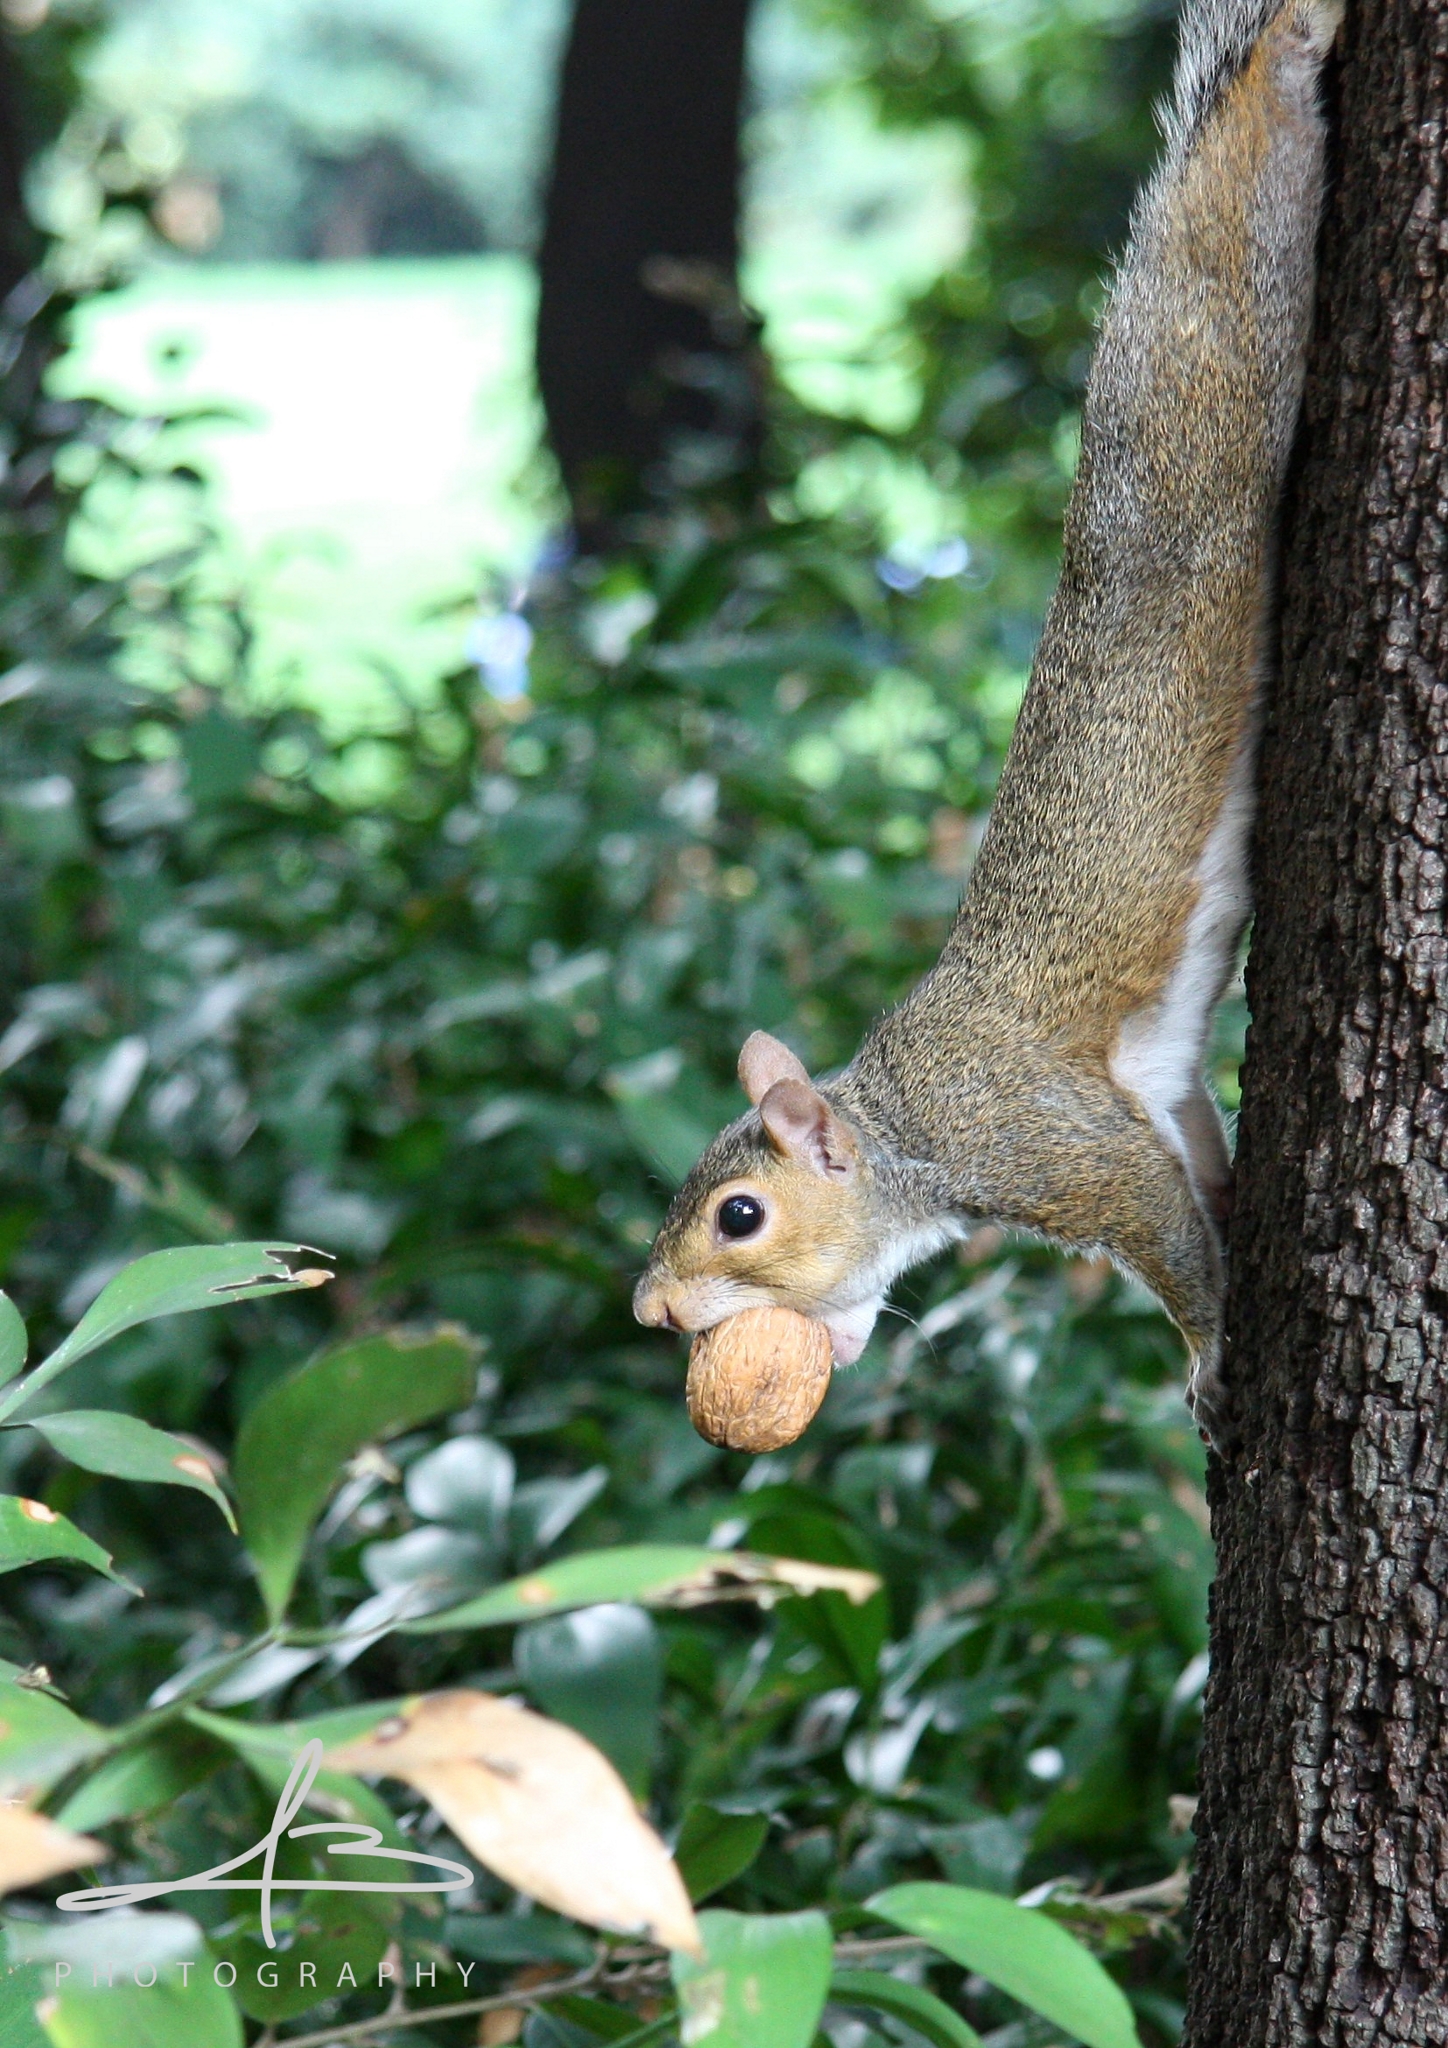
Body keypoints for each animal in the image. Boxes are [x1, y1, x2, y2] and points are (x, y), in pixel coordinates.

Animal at [633, 0, 1343, 1445]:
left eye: (738, 1216)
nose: (650, 1312)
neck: (910, 1126)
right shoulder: (1149, 1095)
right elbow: (1191, 1138)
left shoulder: (1055, 1147)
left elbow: (1167, 1234)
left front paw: (1207, 1359)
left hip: (1222, 363)